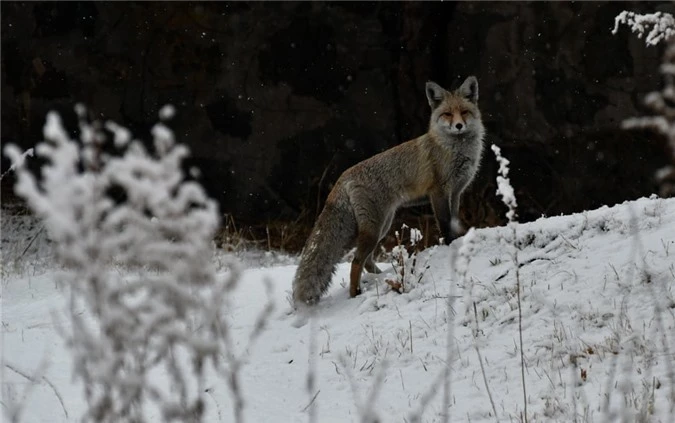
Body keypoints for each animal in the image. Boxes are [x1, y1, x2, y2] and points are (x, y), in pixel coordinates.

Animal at [294, 76, 484, 306]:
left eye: (464, 112)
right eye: (447, 113)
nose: (458, 125)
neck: (455, 149)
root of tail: (343, 176)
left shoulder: (456, 192)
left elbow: (454, 221)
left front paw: (457, 241)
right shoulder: (438, 191)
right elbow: (445, 224)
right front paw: (450, 245)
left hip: (381, 226)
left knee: (366, 261)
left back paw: (380, 278)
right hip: (375, 228)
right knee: (356, 261)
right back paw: (356, 293)